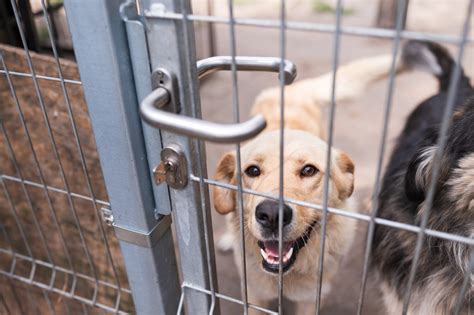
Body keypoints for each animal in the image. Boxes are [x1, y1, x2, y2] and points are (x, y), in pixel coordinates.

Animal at [213, 55, 402, 314]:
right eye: (252, 170)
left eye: (309, 170)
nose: (272, 215)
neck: (285, 275)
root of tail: (295, 90)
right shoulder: (253, 295)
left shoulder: (310, 298)